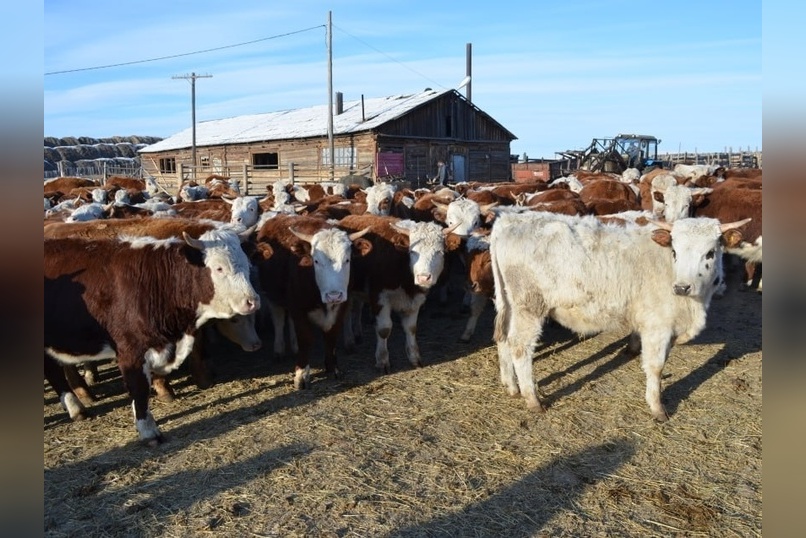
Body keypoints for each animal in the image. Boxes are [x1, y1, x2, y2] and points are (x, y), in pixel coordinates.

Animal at [44, 228, 260, 442]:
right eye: (219, 268)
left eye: (247, 264)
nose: (252, 301)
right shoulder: (130, 350)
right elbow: (139, 388)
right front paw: (148, 431)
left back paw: (76, 409)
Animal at [492, 209, 752, 418]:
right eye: (675, 251)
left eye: (710, 253)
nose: (681, 287)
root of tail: (508, 219)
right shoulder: (657, 326)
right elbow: (656, 367)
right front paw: (657, 407)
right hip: (529, 307)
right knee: (519, 347)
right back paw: (532, 399)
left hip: (508, 304)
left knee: (503, 339)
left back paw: (511, 386)